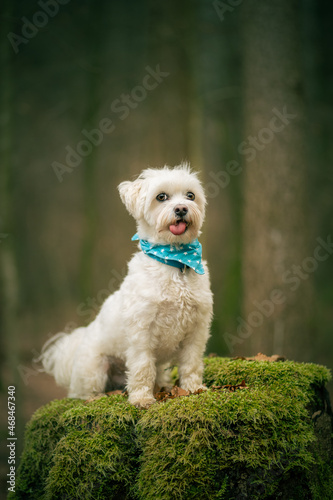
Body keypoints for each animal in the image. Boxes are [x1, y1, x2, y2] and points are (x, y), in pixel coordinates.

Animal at [40, 164, 213, 406]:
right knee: (82, 393)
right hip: (94, 369)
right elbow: (142, 367)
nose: (181, 209)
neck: (176, 262)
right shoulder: (142, 331)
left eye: (191, 195)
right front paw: (141, 398)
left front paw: (193, 388)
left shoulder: (197, 330)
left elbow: (191, 363)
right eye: (161, 197)